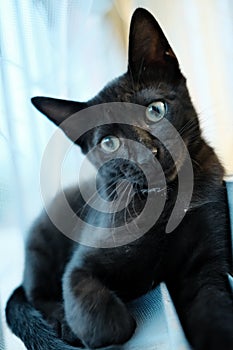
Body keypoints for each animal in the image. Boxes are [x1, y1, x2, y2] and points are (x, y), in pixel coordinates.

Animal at [5, 6, 233, 350]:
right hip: (41, 237)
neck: (164, 204)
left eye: (155, 110)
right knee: (36, 294)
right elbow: (99, 316)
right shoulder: (81, 265)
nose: (148, 154)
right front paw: (101, 322)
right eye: (109, 143)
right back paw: (62, 323)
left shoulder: (208, 266)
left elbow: (216, 313)